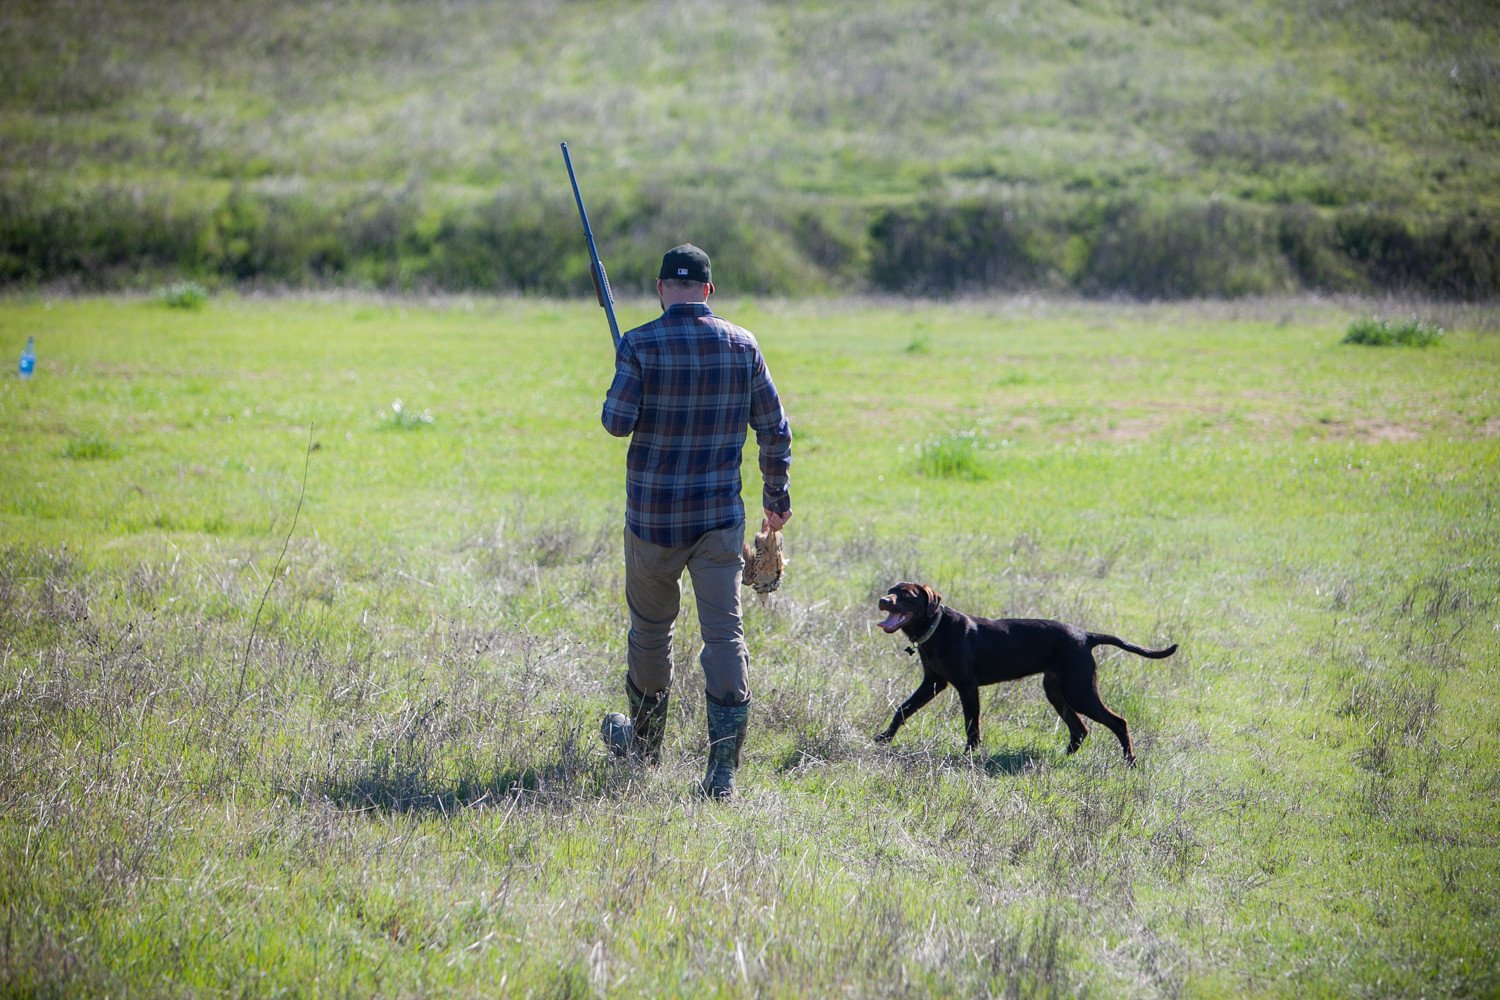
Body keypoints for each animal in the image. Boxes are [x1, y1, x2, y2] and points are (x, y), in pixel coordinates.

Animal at [876, 581, 1176, 761]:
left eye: (906, 594)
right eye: (891, 589)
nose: (882, 600)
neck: (936, 628)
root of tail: (1086, 636)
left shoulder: (966, 685)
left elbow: (972, 724)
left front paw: (968, 754)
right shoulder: (934, 682)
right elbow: (902, 709)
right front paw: (883, 738)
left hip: (1079, 690)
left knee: (1117, 722)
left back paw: (1130, 762)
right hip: (1056, 691)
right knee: (1080, 729)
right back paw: (1060, 758)